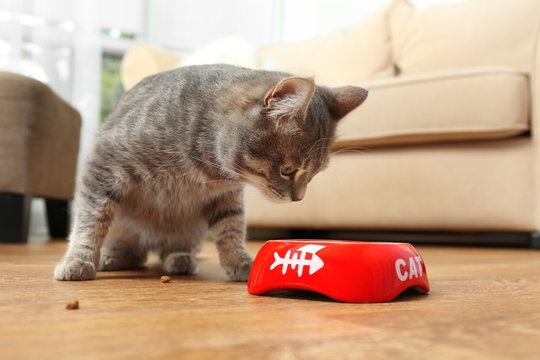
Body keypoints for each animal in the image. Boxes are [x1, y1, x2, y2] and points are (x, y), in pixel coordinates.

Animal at [53, 65, 368, 284]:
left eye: (314, 174)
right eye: (288, 170)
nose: (298, 199)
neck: (204, 166)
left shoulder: (226, 196)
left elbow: (231, 229)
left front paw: (241, 263)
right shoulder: (104, 165)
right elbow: (91, 221)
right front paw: (78, 260)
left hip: (189, 231)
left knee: (169, 249)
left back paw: (179, 258)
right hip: (124, 229)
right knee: (132, 250)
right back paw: (112, 257)